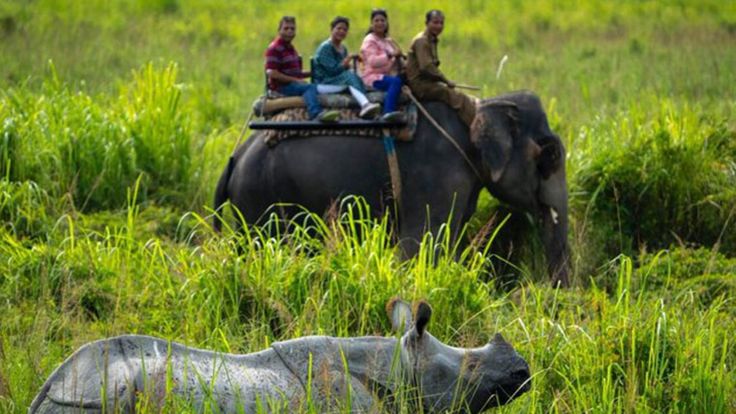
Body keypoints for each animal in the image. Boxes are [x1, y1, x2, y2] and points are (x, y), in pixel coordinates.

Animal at [214, 91, 570, 286]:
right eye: (550, 155)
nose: (551, 293)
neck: (480, 106)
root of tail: (234, 157)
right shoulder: (437, 176)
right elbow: (420, 246)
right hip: (262, 200)